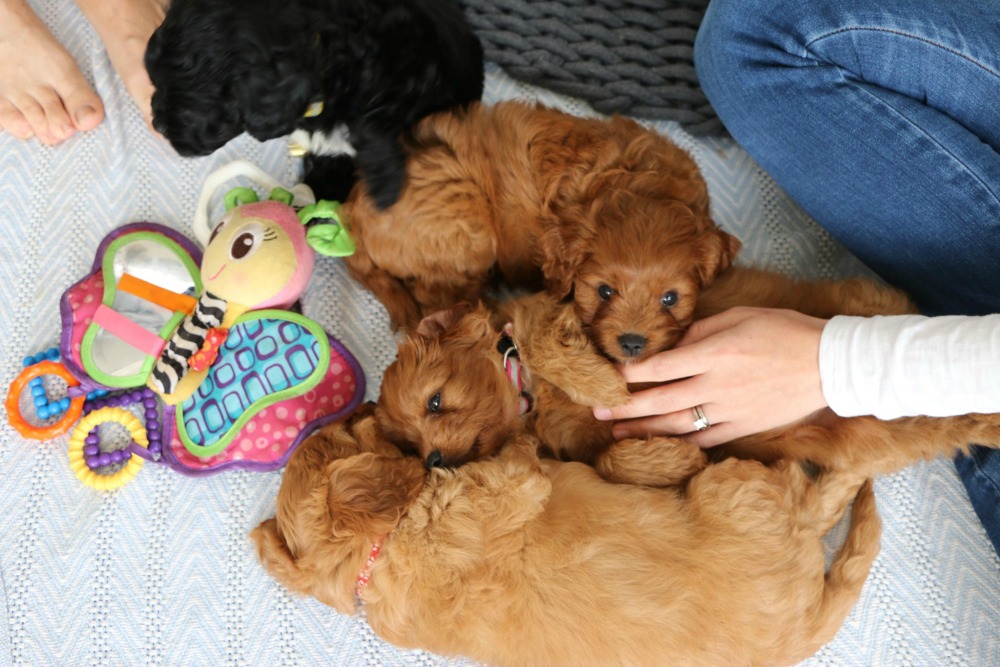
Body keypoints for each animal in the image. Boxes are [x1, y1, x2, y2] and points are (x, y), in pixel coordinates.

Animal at [252, 410, 884, 667]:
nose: (366, 404)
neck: (378, 551)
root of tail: (808, 625)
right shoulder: (512, 483)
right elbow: (523, 451)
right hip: (737, 491)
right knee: (817, 494)